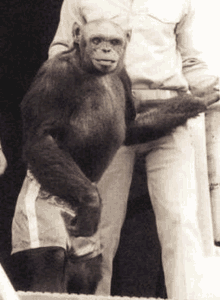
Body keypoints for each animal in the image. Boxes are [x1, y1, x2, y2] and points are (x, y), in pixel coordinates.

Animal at [11, 18, 219, 292]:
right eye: (97, 39)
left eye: (115, 41)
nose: (106, 50)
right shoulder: (53, 77)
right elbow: (41, 140)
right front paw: (91, 202)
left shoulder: (123, 76)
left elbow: (131, 128)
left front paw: (199, 98)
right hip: (42, 213)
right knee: (49, 269)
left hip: (86, 248)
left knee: (86, 273)